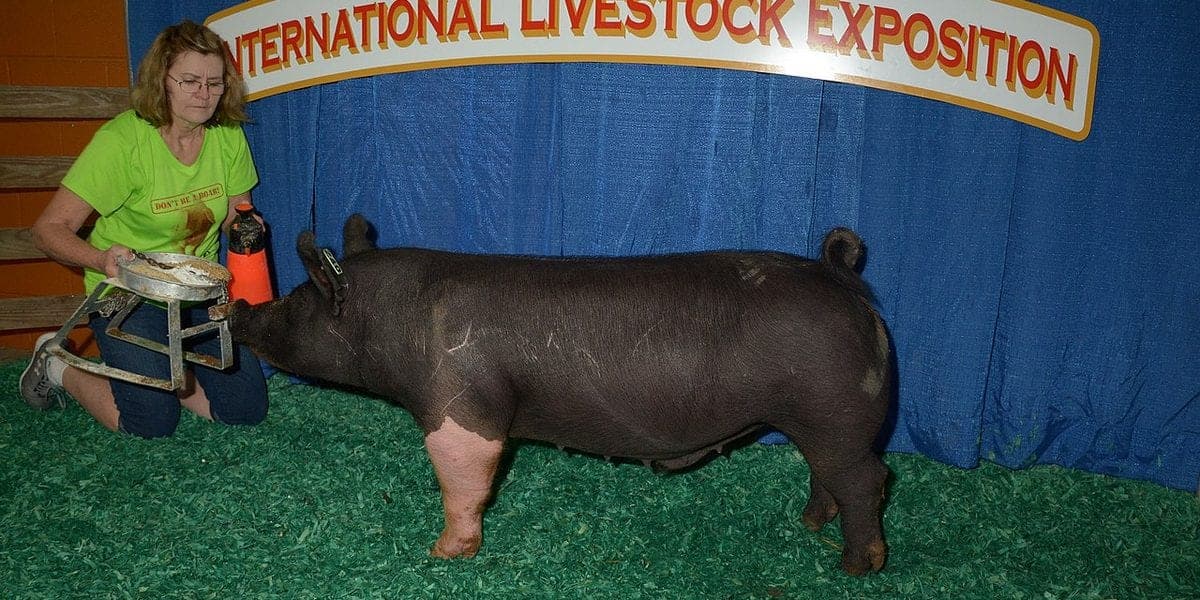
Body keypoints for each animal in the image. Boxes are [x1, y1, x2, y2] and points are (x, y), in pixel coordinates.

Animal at [216, 214, 892, 575]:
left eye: (296, 301)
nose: (242, 308)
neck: (391, 319)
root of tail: (845, 280)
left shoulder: (460, 404)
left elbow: (466, 477)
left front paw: (443, 554)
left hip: (835, 410)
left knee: (868, 479)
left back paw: (856, 565)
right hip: (816, 419)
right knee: (826, 474)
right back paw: (809, 523)